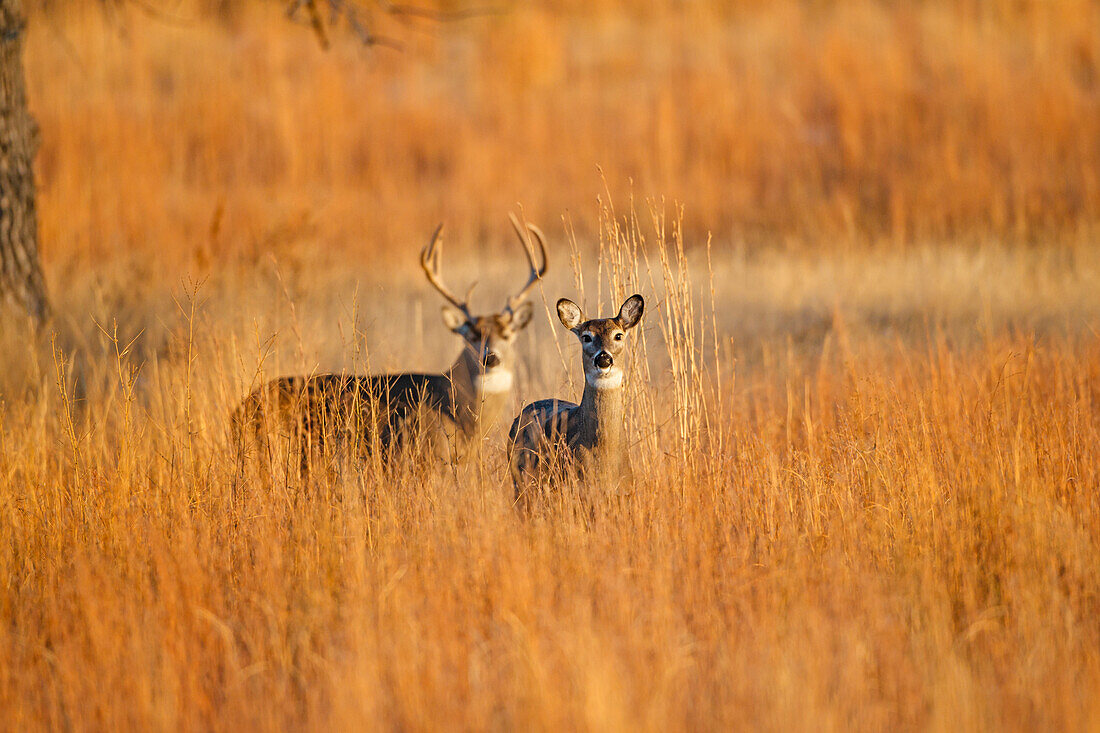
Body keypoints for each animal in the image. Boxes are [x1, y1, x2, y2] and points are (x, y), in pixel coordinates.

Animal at [229, 214, 547, 473]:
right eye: (470, 334)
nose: (491, 357)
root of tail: (238, 411)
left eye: (508, 333)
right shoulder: (426, 455)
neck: (455, 410)